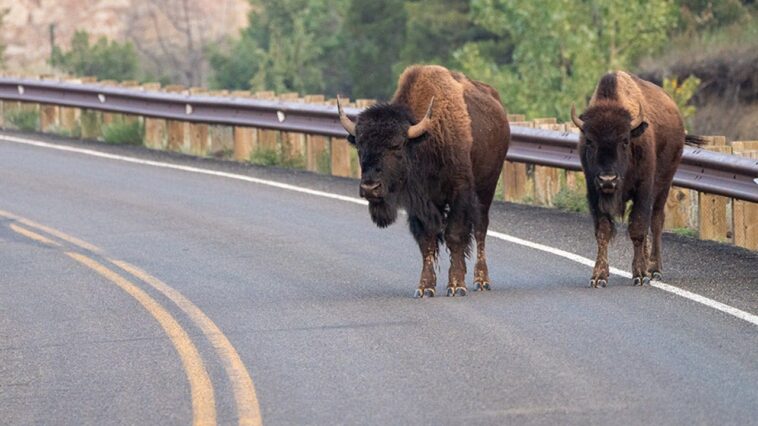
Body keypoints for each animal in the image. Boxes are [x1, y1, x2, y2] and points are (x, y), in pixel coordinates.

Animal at [338, 65, 510, 297]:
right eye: (359, 146)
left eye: (397, 146)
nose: (370, 187)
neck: (424, 141)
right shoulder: (418, 203)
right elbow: (427, 240)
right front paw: (425, 287)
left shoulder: (459, 192)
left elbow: (455, 235)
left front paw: (456, 286)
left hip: (486, 189)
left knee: (481, 229)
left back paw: (481, 281)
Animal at [571, 71, 700, 287]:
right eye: (589, 141)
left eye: (625, 140)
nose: (608, 179)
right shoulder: (594, 193)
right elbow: (603, 231)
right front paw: (599, 277)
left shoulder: (644, 190)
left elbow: (638, 228)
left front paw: (639, 274)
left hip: (664, 185)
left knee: (656, 221)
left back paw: (654, 269)